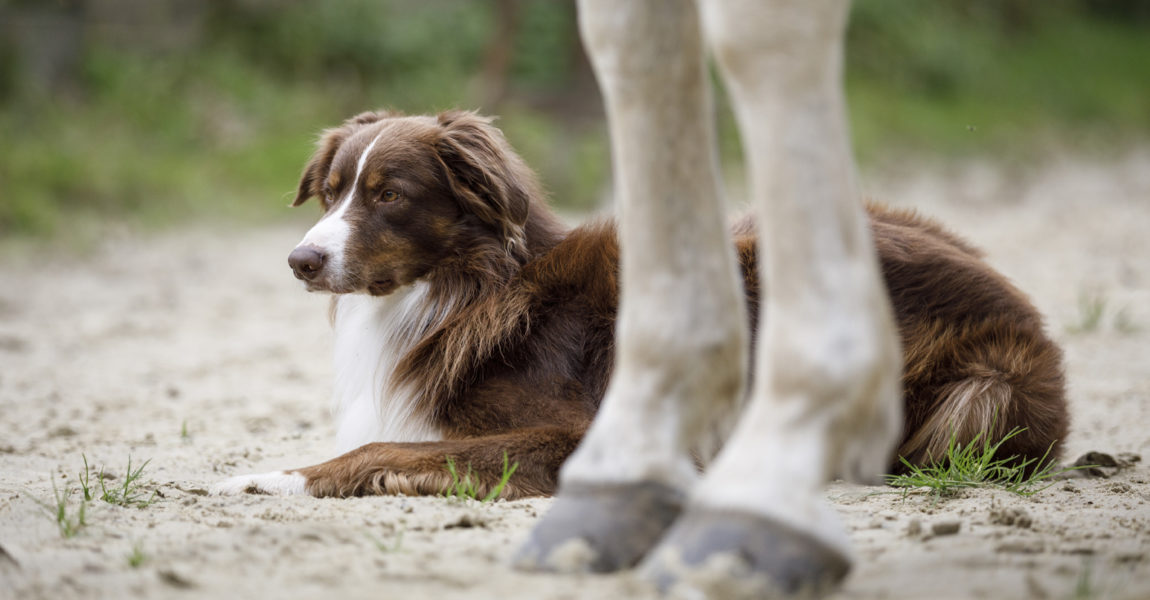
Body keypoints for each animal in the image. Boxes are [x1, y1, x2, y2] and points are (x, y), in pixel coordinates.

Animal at [213, 109, 1067, 496]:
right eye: (330, 193)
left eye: (388, 196)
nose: (300, 261)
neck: (462, 288)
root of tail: (1028, 323)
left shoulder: (575, 431)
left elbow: (386, 451)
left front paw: (273, 477)